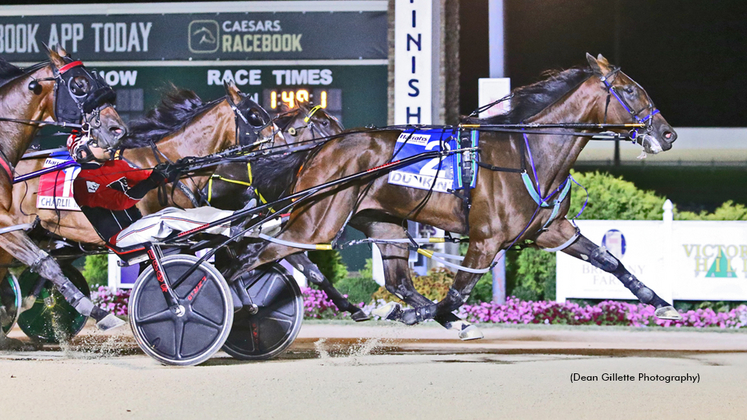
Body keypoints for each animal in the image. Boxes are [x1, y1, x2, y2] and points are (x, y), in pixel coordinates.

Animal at [229, 55, 684, 338]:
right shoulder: (485, 241)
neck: (527, 154)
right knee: (251, 259)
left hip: (383, 224)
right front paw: (418, 315)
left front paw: (662, 303)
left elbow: (609, 261)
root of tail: (320, 148)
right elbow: (455, 294)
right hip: (316, 222)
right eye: (628, 90)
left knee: (395, 281)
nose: (667, 134)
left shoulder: (552, 230)